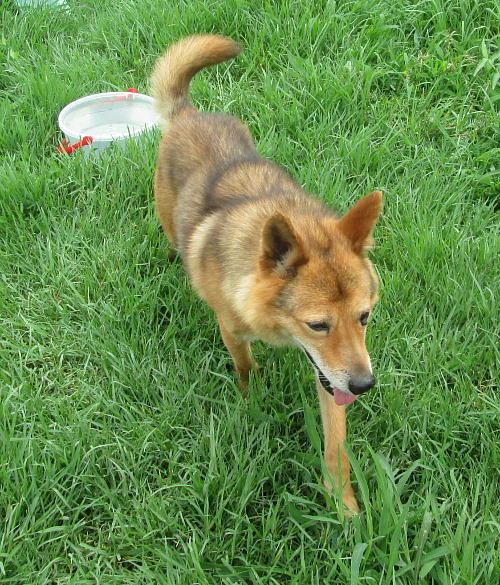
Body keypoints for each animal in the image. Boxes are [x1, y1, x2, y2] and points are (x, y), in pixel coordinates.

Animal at [151, 35, 382, 515]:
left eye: (364, 317)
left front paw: (344, 505)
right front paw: (250, 399)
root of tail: (188, 114)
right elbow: (244, 368)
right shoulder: (233, 330)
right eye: (318, 325)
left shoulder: (330, 375)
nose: (365, 384)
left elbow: (336, 444)